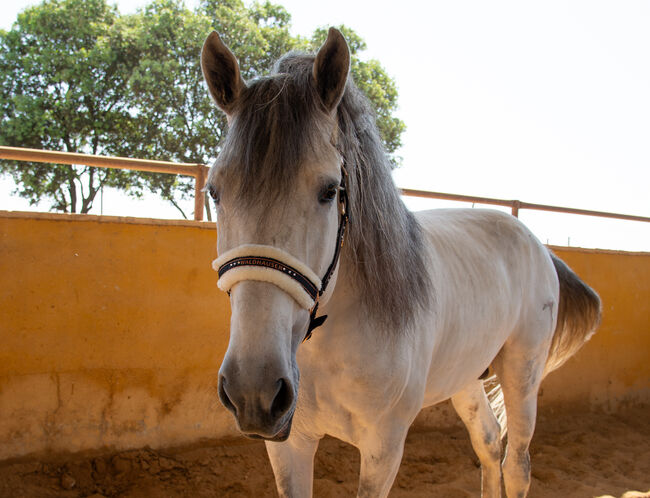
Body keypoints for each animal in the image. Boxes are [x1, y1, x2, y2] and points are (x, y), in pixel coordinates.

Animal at [200, 29, 600, 496]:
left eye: (330, 190)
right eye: (214, 191)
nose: (254, 389)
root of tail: (535, 241)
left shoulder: (383, 449)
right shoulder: (289, 445)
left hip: (523, 376)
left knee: (517, 463)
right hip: (466, 378)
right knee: (488, 444)